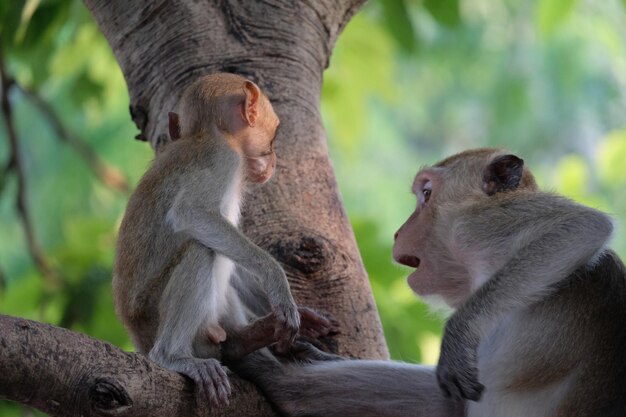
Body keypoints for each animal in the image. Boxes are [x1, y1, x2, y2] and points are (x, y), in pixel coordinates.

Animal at [114, 73, 334, 404]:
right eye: (274, 137)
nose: (274, 160)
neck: (210, 134)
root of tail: (136, 335)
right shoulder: (221, 158)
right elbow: (192, 214)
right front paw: (276, 280)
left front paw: (301, 315)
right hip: (155, 317)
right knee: (200, 250)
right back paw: (172, 356)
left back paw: (246, 338)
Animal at [230, 148, 624, 414]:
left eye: (427, 194)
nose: (397, 232)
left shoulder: (477, 225)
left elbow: (580, 227)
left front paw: (460, 331)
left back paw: (282, 381)